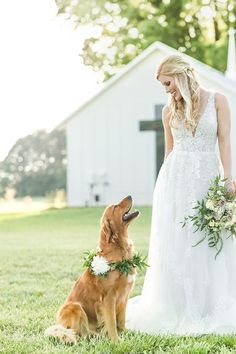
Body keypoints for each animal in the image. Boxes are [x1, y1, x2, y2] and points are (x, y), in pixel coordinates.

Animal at [44, 196, 138, 342]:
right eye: (115, 207)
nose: (130, 196)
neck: (119, 248)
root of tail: (59, 325)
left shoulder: (124, 297)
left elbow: (121, 321)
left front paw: (125, 334)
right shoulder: (108, 298)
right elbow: (111, 323)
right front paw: (116, 341)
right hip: (74, 306)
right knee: (77, 333)